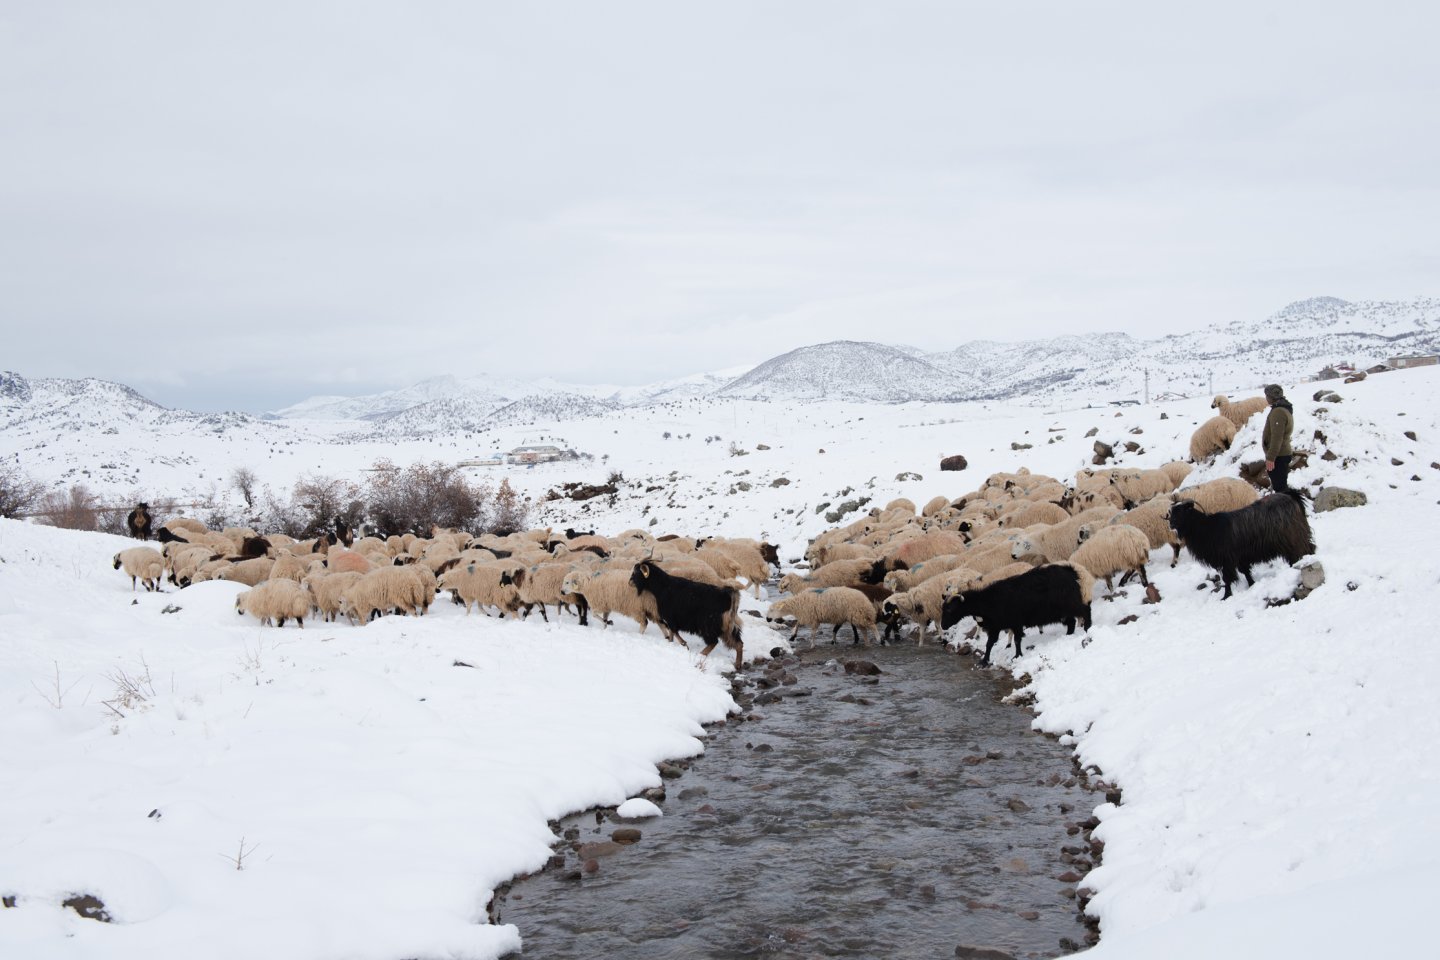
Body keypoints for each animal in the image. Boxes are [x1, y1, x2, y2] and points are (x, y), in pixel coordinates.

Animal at [933, 564, 1088, 667]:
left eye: (950, 609)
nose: (943, 625)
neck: (988, 602)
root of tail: (1071, 572)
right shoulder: (996, 626)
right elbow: (989, 643)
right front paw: (984, 661)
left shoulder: (1016, 622)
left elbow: (1017, 640)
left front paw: (1017, 656)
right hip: (1063, 611)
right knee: (1071, 622)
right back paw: (1068, 636)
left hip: (1071, 604)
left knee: (1085, 611)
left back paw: (1087, 628)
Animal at [1169, 492, 1319, 595]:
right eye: (1171, 512)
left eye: (1181, 511)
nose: (1170, 524)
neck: (1208, 528)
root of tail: (1291, 496)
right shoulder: (1241, 557)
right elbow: (1245, 572)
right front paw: (1252, 584)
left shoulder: (1227, 559)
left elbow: (1227, 578)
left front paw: (1226, 596)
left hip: (1293, 538)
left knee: (1301, 552)